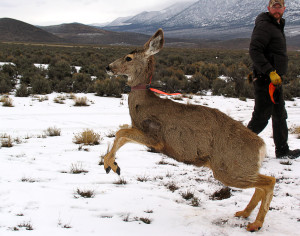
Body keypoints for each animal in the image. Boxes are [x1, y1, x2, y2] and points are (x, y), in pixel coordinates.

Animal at [104, 28, 276, 231]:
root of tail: (261, 146)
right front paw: (111, 165)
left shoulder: (156, 137)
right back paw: (244, 213)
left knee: (269, 181)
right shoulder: (141, 132)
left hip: (229, 168)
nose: (108, 67)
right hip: (238, 168)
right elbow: (122, 135)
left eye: (128, 58)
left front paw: (110, 164)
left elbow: (121, 133)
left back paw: (255, 223)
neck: (144, 104)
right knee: (261, 184)